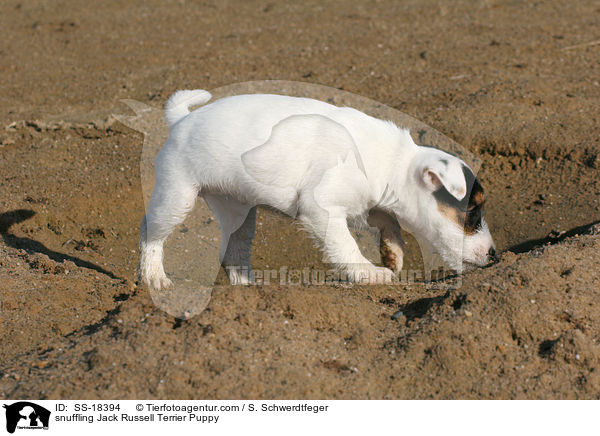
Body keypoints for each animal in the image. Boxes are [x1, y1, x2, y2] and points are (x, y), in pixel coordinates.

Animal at [138, 88, 494, 288]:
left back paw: (246, 287)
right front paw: (370, 273)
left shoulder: (367, 203)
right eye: (472, 210)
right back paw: (154, 278)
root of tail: (180, 120)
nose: (494, 256)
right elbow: (346, 246)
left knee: (235, 250)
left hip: (238, 210)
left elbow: (388, 221)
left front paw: (393, 253)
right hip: (177, 197)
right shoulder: (320, 208)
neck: (393, 161)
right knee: (149, 232)